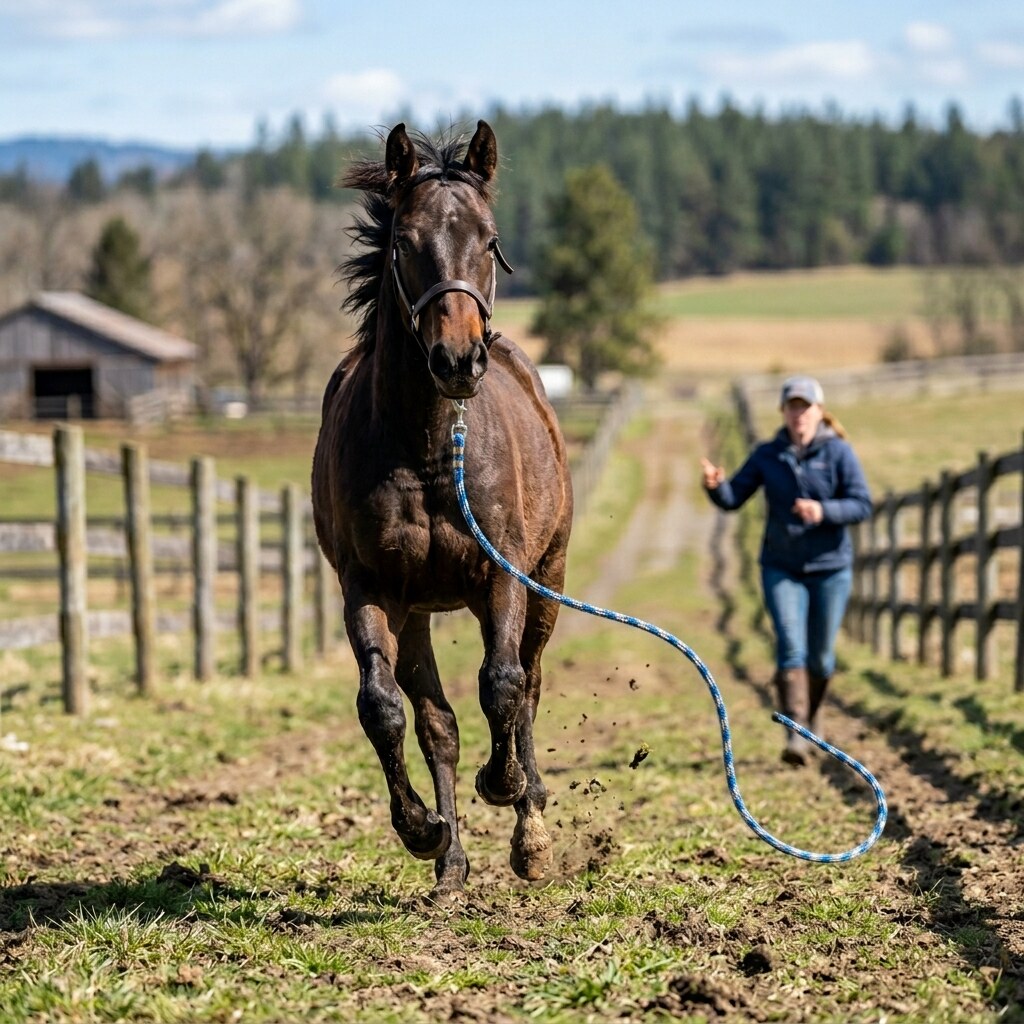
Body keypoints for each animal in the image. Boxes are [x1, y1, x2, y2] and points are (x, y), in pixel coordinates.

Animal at [311, 121, 573, 894]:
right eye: (405, 240)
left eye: (489, 240)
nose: (458, 359)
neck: (428, 446)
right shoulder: (371, 589)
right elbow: (386, 710)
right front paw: (423, 830)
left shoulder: (503, 576)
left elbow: (504, 684)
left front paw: (506, 790)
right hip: (418, 614)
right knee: (437, 724)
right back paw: (452, 857)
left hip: (549, 578)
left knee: (530, 682)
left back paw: (530, 827)